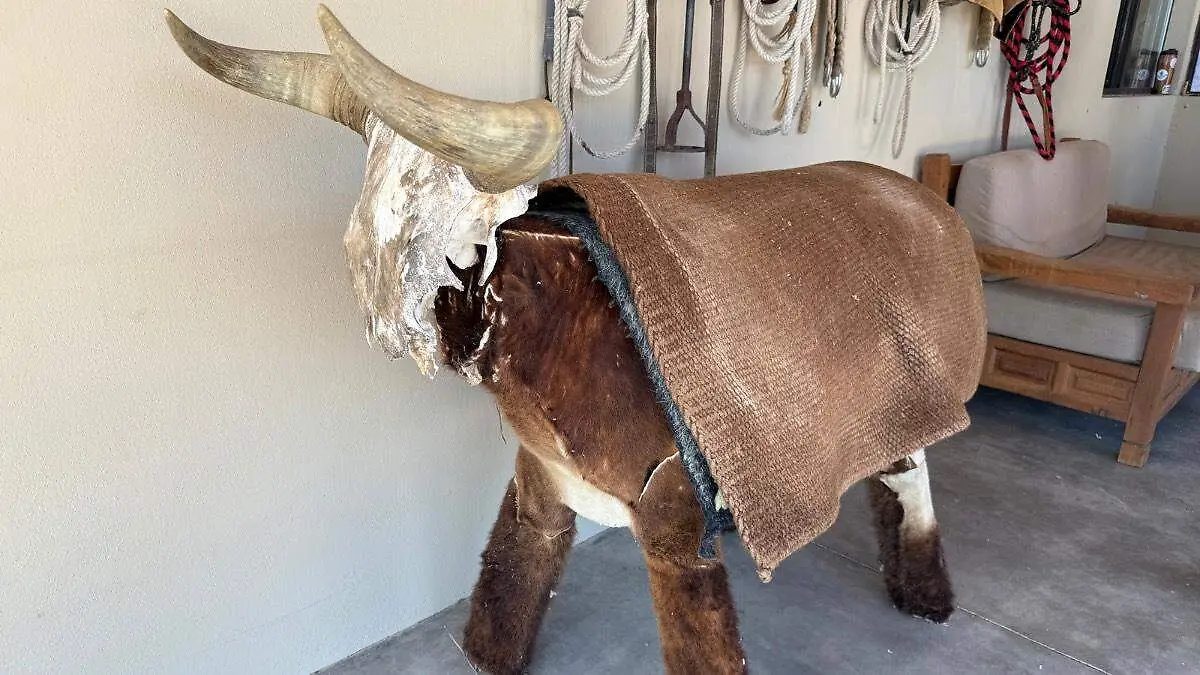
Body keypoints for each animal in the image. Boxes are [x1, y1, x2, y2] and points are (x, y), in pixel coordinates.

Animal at [166, 7, 963, 674]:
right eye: (370, 190)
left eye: (427, 206)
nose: (376, 307)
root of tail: (928, 204)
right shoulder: (538, 481)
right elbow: (509, 578)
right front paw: (489, 655)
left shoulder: (676, 526)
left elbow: (700, 642)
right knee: (895, 480)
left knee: (914, 478)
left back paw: (928, 594)